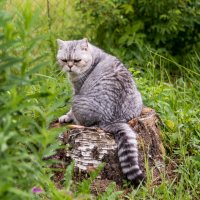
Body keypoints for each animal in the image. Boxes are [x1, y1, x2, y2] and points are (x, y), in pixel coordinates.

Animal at [56, 38, 145, 185]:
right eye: (64, 60)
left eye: (76, 60)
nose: (69, 67)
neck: (95, 56)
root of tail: (113, 119)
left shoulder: (77, 91)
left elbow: (70, 112)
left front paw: (66, 116)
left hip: (76, 100)